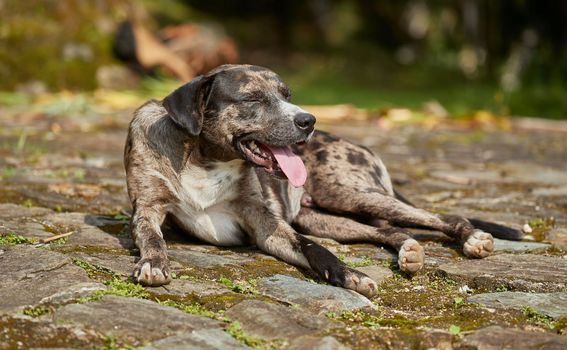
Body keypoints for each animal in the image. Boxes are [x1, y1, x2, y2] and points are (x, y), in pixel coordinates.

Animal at [124, 64, 524, 296]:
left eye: (287, 95)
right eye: (252, 98)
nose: (308, 121)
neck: (205, 158)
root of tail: (358, 143)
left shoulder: (268, 225)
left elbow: (316, 250)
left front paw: (350, 276)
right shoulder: (146, 210)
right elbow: (153, 238)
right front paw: (154, 263)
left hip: (350, 194)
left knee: (442, 216)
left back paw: (472, 238)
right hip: (325, 218)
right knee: (388, 231)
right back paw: (408, 251)